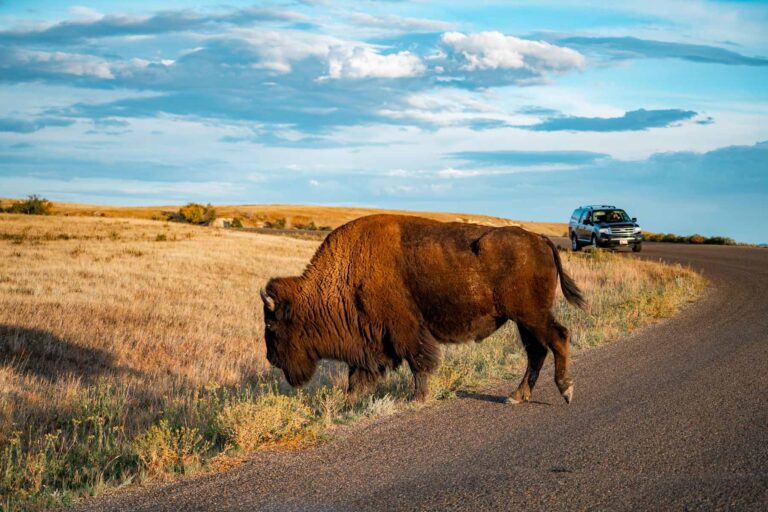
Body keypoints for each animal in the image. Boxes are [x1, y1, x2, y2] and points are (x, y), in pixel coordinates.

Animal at [261, 214, 585, 404]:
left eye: (272, 325)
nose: (272, 359)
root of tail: (540, 240)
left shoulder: (404, 331)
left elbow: (419, 363)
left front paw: (417, 398)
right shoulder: (369, 340)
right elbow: (359, 375)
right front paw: (349, 403)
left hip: (531, 315)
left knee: (557, 338)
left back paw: (565, 390)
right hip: (523, 319)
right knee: (537, 351)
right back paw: (517, 396)